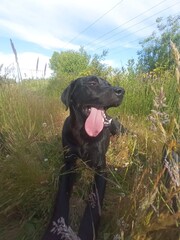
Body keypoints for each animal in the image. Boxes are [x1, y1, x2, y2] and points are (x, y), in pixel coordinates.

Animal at [41, 76, 124, 240]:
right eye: (92, 83)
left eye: (109, 84)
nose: (121, 91)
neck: (83, 135)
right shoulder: (68, 164)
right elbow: (61, 197)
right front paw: (55, 230)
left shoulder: (101, 169)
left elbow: (94, 203)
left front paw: (86, 231)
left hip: (118, 129)